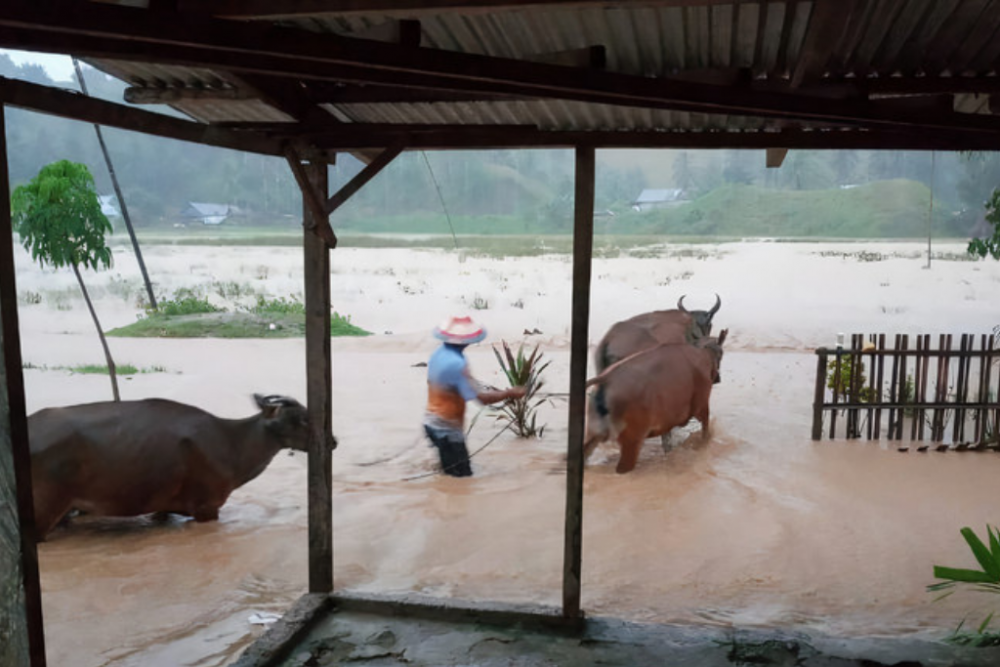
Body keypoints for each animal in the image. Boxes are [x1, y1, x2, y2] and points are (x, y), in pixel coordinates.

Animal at [580, 330, 728, 474]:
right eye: (721, 354)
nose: (718, 378)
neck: (703, 353)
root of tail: (606, 378)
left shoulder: (667, 422)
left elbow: (667, 444)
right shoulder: (702, 407)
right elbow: (705, 433)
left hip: (594, 435)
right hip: (631, 442)